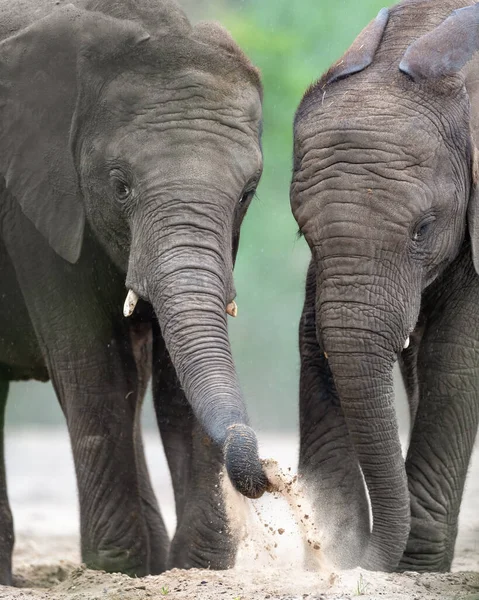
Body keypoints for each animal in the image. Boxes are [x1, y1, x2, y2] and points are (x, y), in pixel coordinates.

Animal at [0, 0, 272, 584]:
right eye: (120, 185)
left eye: (246, 193)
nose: (265, 477)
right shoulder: (32, 205)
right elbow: (91, 367)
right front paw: (116, 567)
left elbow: (174, 378)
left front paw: (195, 567)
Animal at [292, 0, 479, 572]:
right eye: (302, 232)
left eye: (423, 229)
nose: (353, 565)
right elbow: (315, 341)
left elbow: (456, 356)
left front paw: (415, 572)